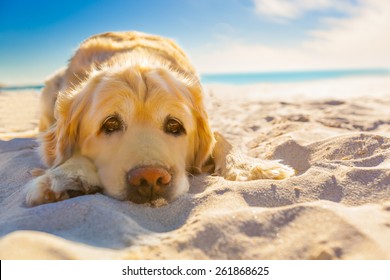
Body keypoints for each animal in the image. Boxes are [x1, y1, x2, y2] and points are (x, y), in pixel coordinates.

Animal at [25, 31, 294, 206]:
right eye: (110, 123)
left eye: (174, 125)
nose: (150, 177)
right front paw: (65, 177)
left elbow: (220, 136)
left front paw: (253, 167)